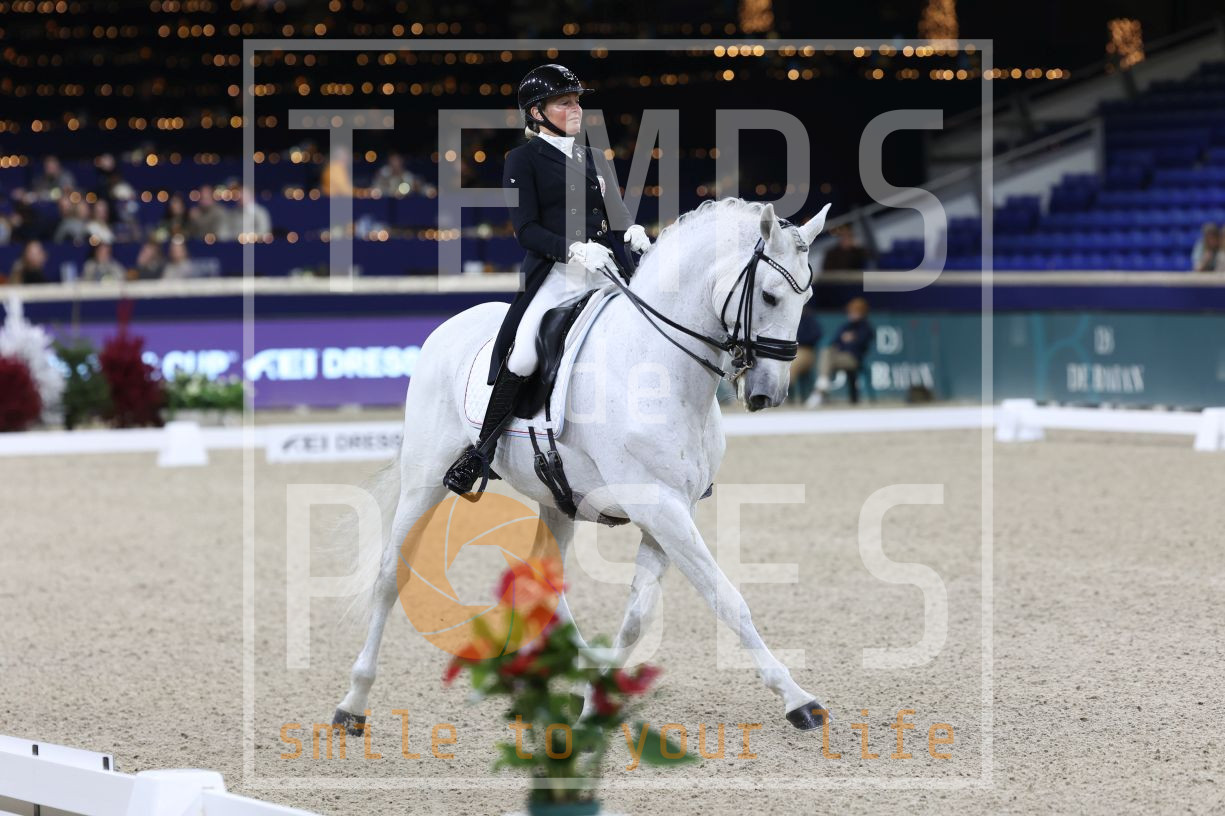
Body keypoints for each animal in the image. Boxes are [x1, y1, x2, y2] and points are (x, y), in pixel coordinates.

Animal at [333, 197, 833, 734]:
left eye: (807, 297)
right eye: (770, 296)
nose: (768, 394)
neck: (657, 367)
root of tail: (446, 328)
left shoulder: (672, 512)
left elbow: (637, 618)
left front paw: (597, 697)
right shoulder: (660, 508)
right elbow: (727, 598)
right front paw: (798, 699)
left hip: (556, 500)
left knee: (541, 582)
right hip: (425, 481)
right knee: (390, 574)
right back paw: (353, 703)